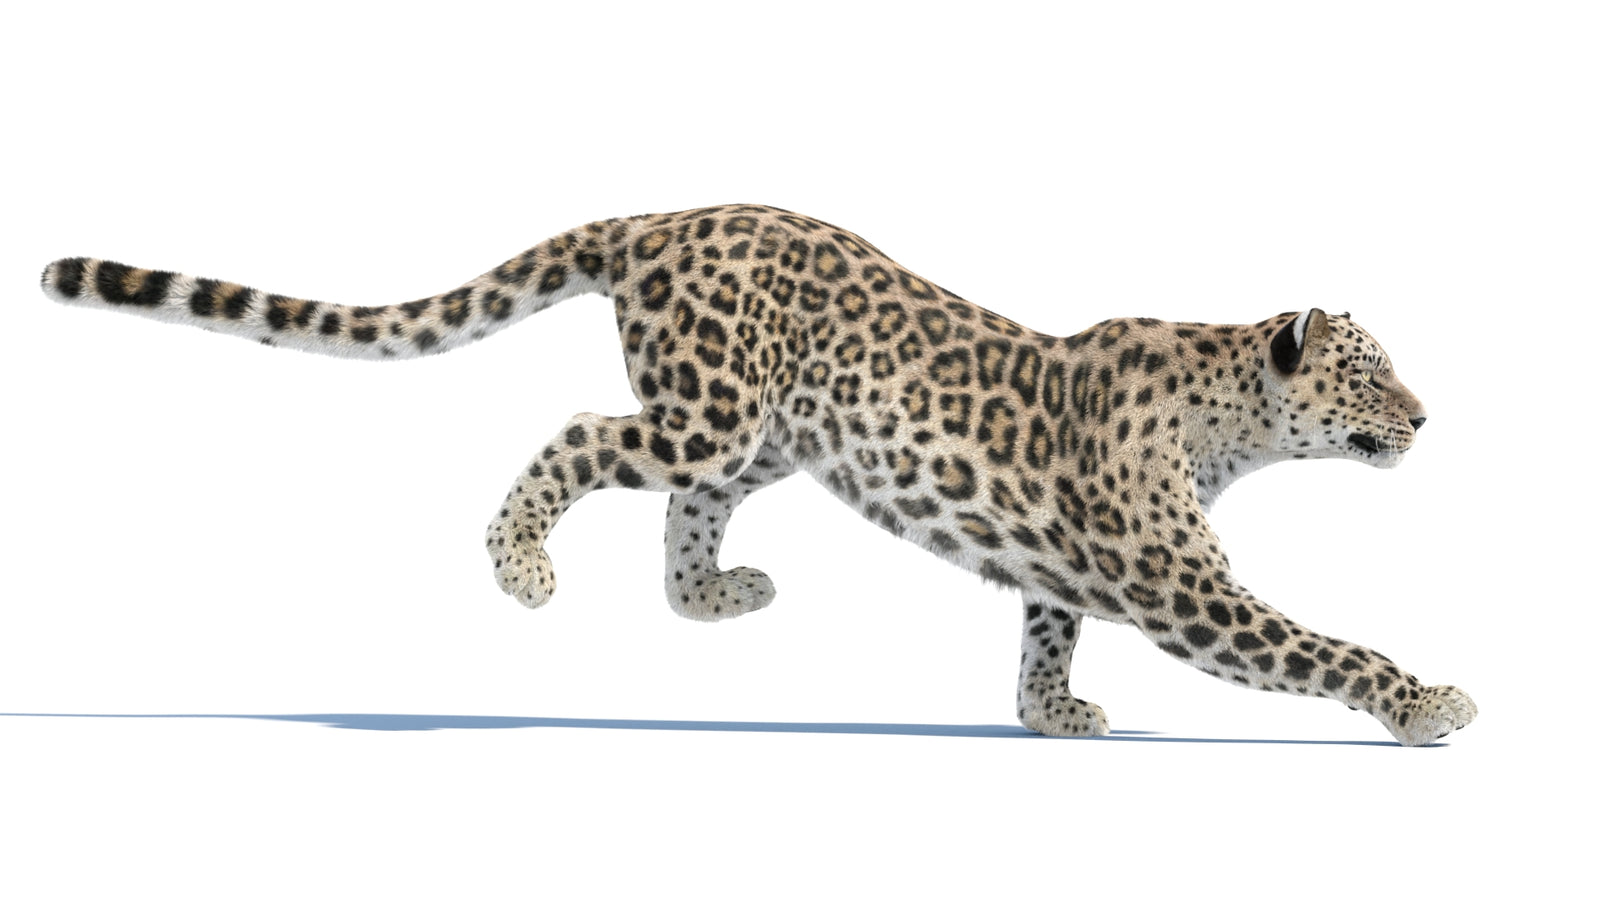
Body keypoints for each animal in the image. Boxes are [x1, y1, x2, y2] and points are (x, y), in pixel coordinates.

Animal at [40, 203, 1476, 746]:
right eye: (1370, 380)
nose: (1424, 418)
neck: (1231, 413)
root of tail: (655, 219)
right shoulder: (1183, 591)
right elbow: (1321, 645)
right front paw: (1426, 705)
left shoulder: (1074, 572)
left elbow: (1043, 634)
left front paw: (1050, 716)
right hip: (708, 413)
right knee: (580, 434)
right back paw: (523, 566)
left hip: (764, 437)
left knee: (684, 532)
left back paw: (734, 593)